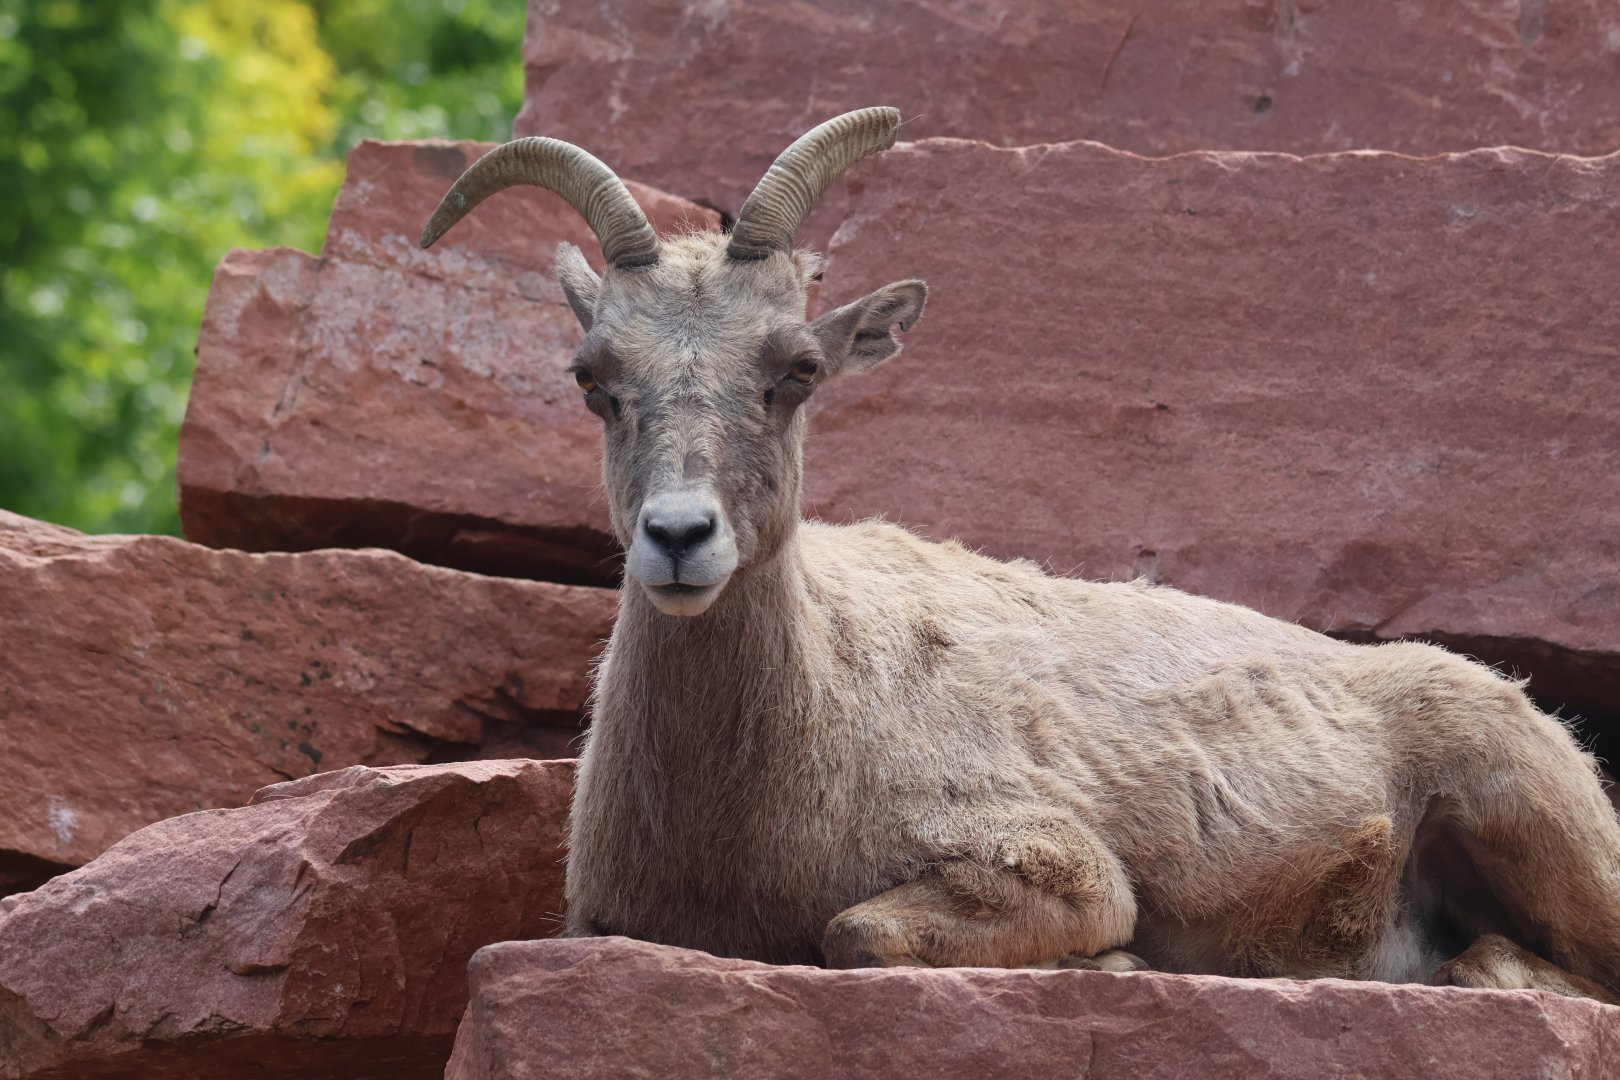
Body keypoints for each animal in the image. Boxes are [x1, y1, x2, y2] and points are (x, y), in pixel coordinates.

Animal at [421, 107, 1620, 1002]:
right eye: (593, 377)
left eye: (798, 369)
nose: (679, 538)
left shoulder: (1051, 860)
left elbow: (859, 932)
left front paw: (1123, 962)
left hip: (1534, 817)